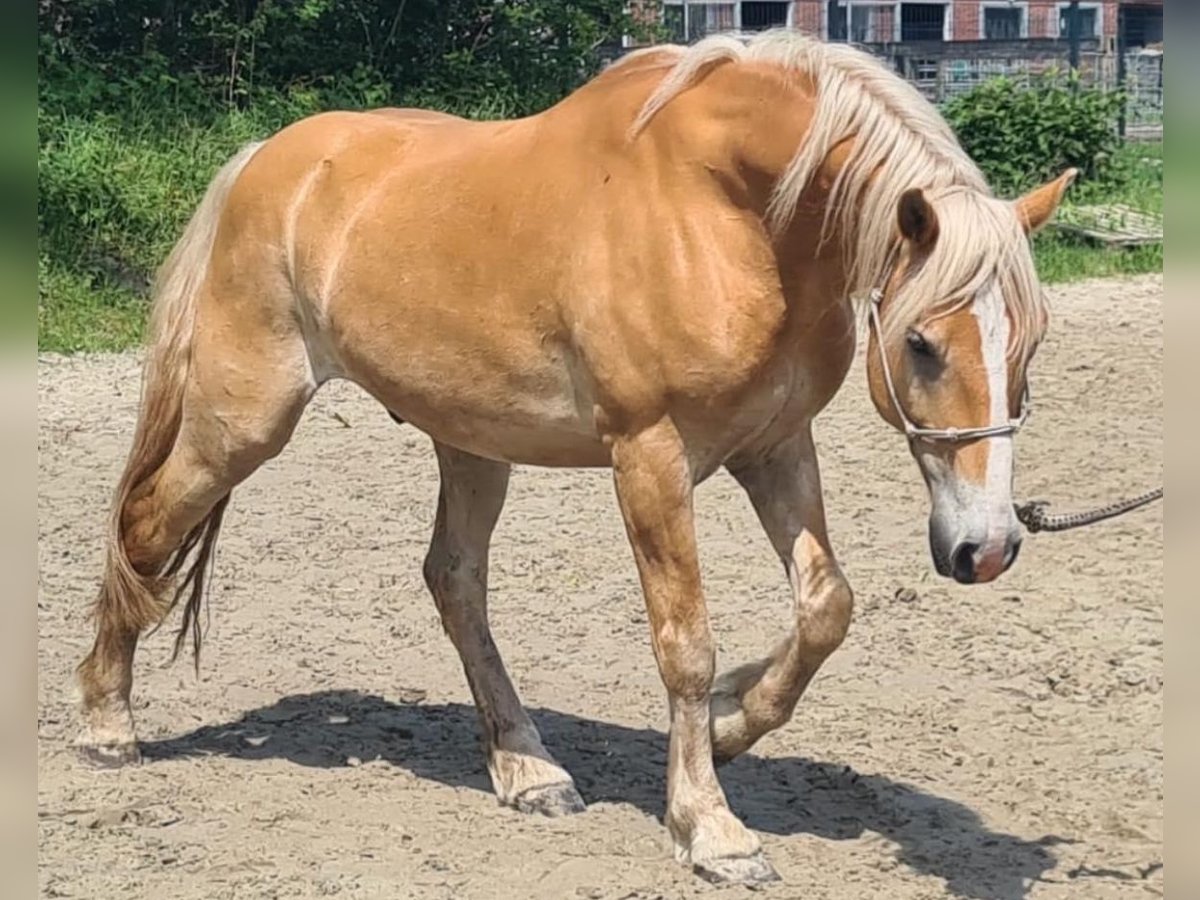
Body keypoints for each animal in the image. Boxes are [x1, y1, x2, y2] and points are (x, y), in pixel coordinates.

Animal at [74, 30, 1075, 885]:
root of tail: (266, 160)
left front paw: (731, 727)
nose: (986, 548)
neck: (725, 208)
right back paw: (106, 725)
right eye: (922, 345)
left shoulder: (774, 446)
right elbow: (685, 643)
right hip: (243, 420)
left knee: (454, 583)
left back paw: (528, 770)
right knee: (145, 527)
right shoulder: (651, 456)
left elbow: (827, 606)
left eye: (1032, 341)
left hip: (470, 444)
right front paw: (711, 827)